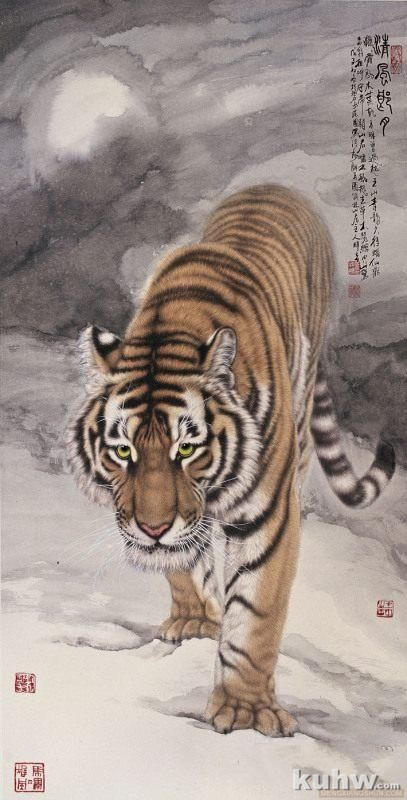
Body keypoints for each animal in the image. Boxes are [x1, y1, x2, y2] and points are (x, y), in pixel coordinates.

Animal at [67, 184, 395, 737]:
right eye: (123, 450)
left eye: (186, 449)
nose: (152, 528)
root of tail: (274, 187)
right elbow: (183, 564)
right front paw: (196, 621)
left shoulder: (268, 513)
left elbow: (256, 612)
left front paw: (244, 709)